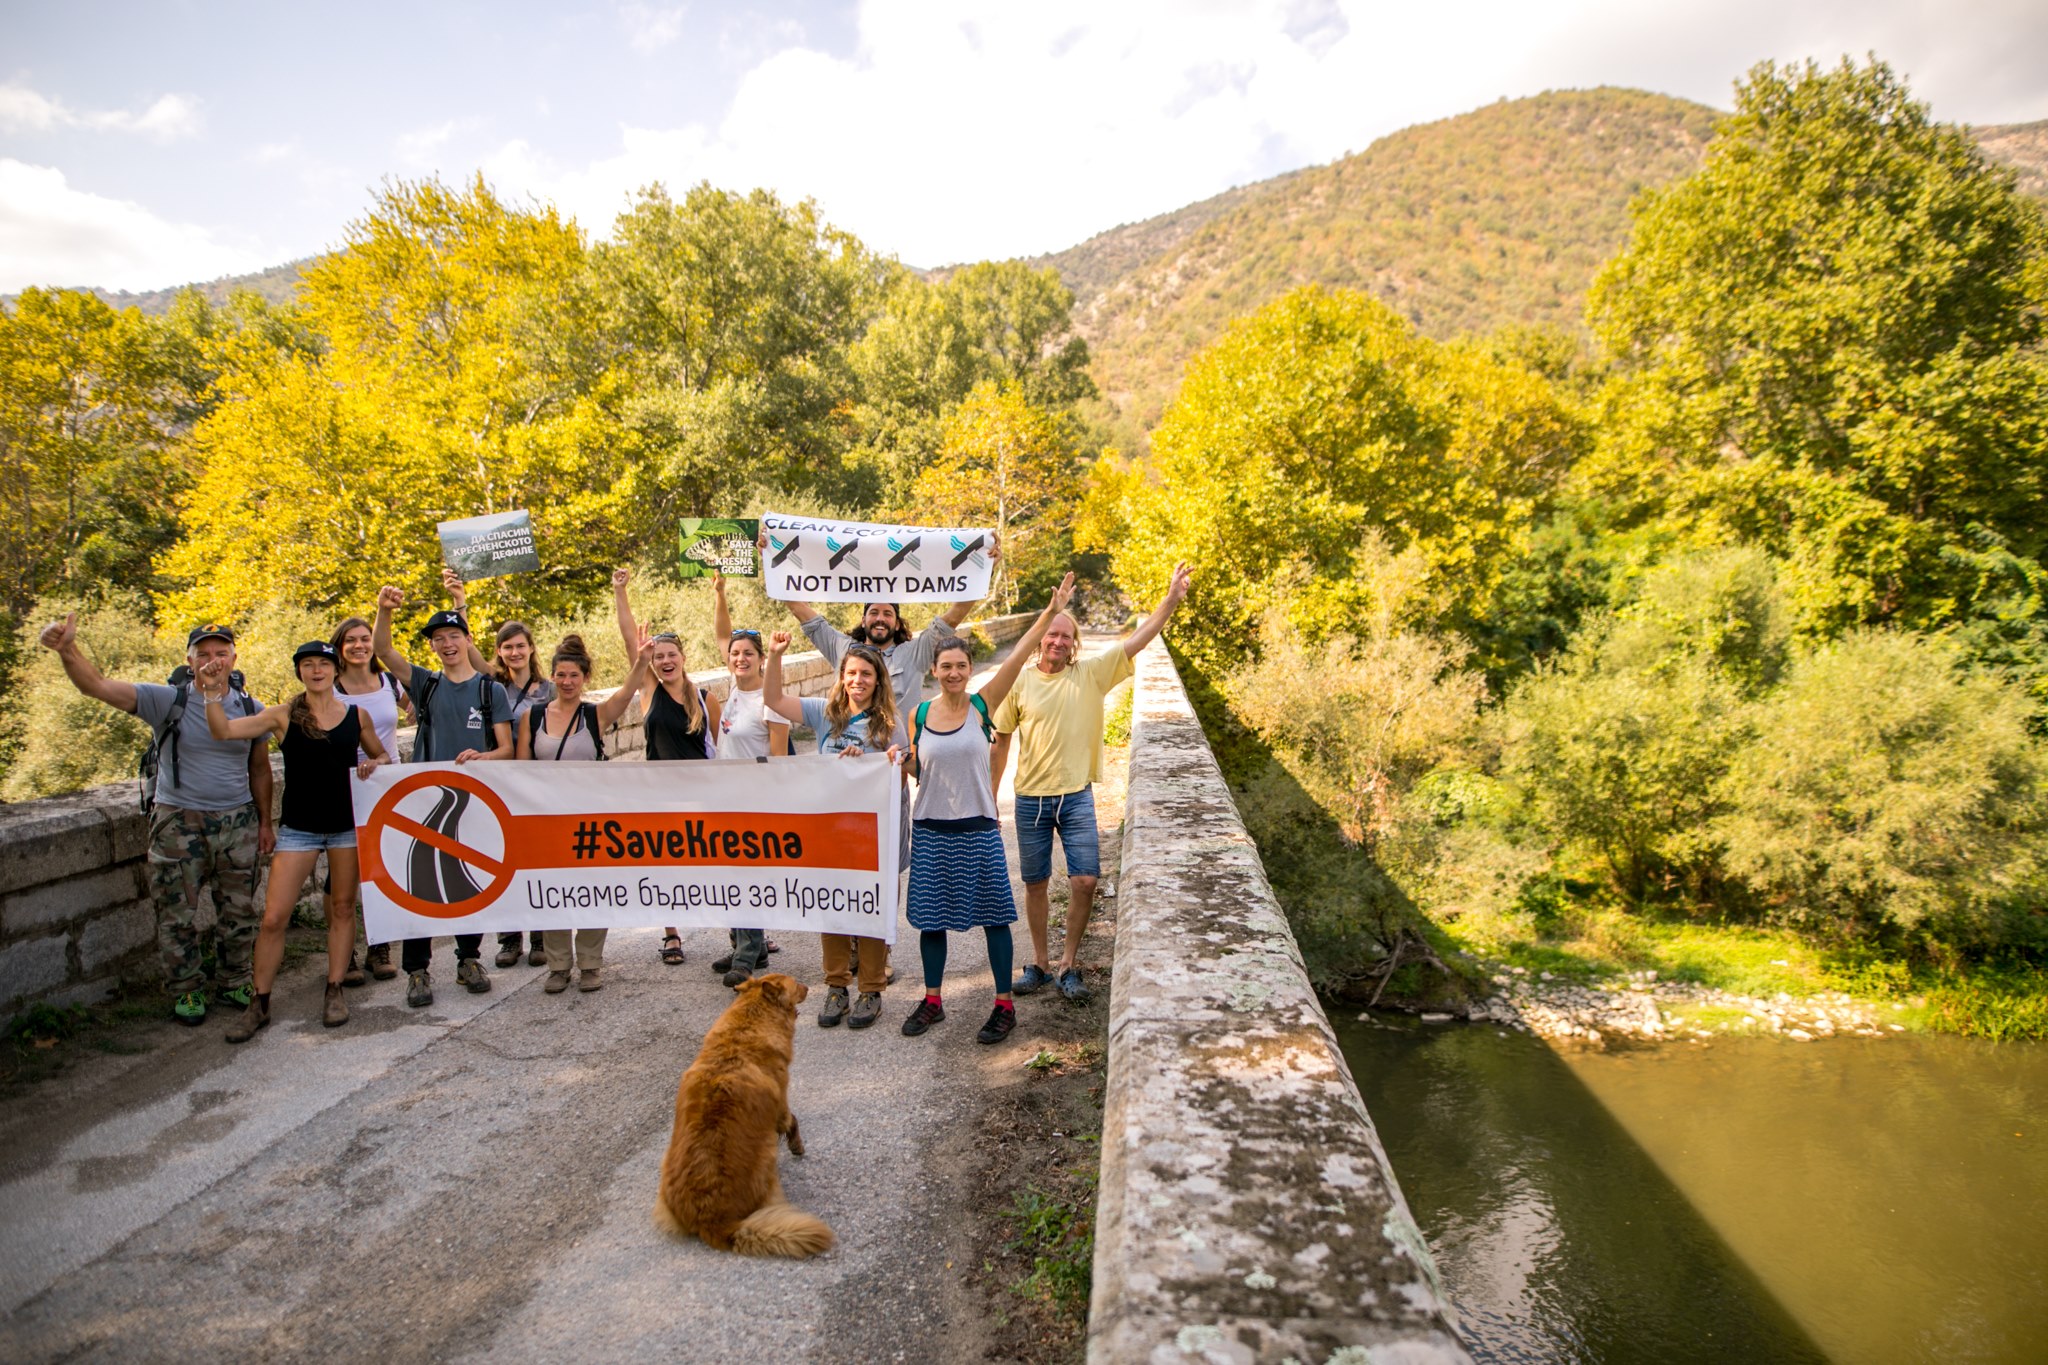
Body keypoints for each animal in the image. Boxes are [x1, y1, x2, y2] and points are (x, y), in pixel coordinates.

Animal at [647, 970, 823, 1260]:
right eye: (795, 984)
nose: (809, 986)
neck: (743, 1032)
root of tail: (712, 1221)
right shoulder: (781, 1103)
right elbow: (792, 1121)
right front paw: (797, 1146)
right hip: (767, 1159)